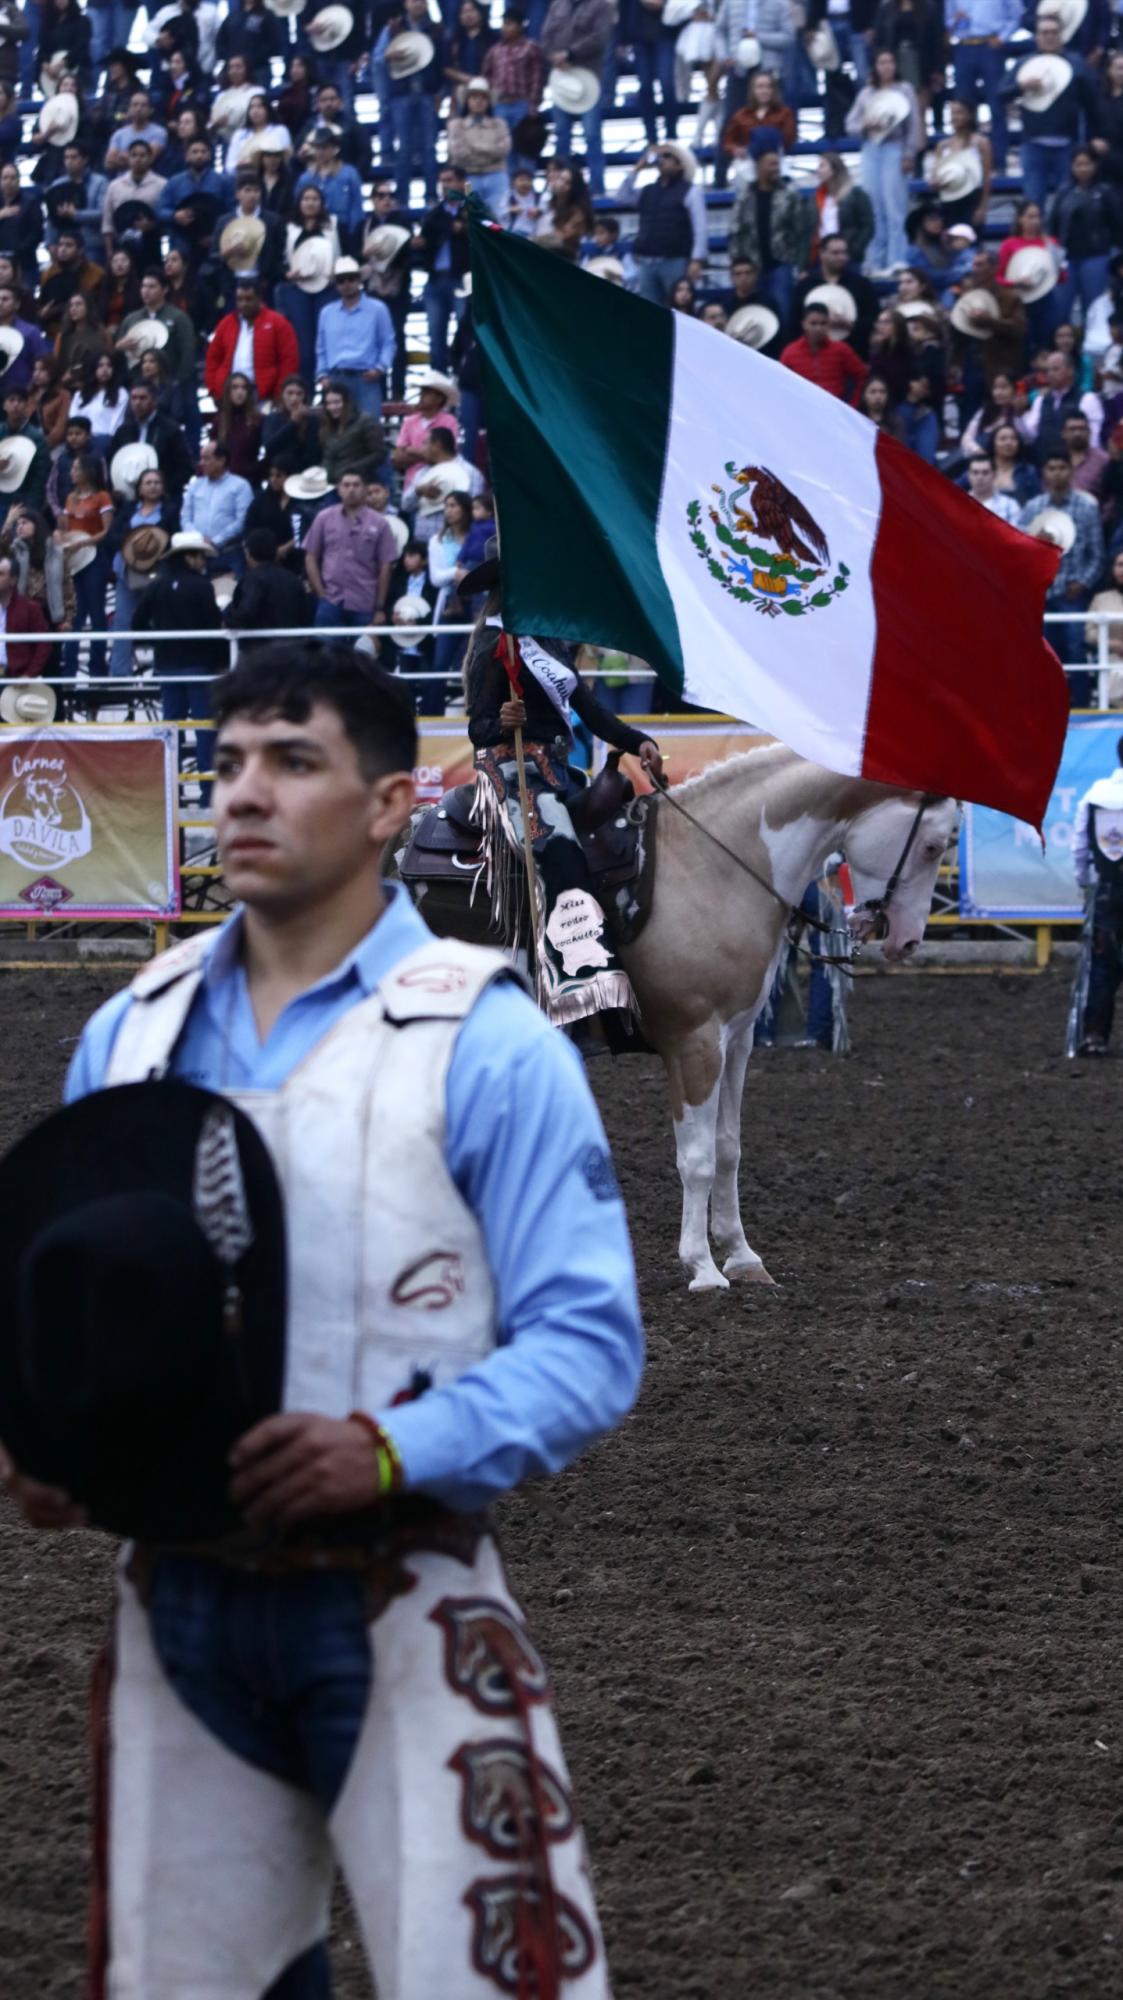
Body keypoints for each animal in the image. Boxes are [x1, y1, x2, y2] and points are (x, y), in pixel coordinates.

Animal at [611, 744, 951, 1288]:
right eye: (934, 846)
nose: (909, 941)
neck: (707, 866)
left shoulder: (736, 1040)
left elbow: (727, 1148)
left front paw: (741, 1255)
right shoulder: (694, 1044)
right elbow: (697, 1158)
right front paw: (702, 1266)